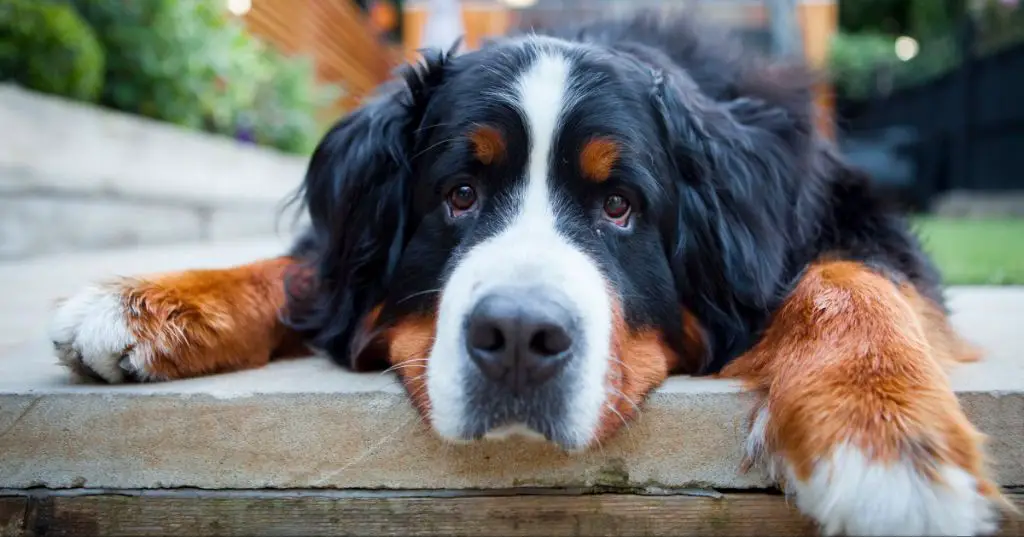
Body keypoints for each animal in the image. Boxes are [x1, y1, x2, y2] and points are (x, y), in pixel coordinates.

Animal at [46, 12, 1007, 537]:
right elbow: (300, 270)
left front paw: (885, 442)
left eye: (620, 206)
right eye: (459, 194)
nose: (515, 336)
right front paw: (146, 303)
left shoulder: (848, 215)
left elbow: (850, 278)